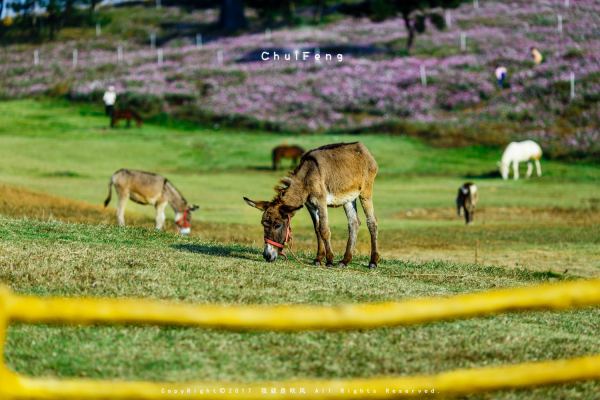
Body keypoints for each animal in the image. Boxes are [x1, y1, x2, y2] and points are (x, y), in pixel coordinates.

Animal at [244, 141, 380, 268]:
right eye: (263, 224)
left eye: (277, 225)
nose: (267, 256)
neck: (306, 178)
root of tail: (362, 148)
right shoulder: (310, 205)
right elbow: (317, 229)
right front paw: (318, 259)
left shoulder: (321, 202)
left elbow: (324, 230)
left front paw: (329, 260)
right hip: (348, 198)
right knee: (354, 223)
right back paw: (345, 261)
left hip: (365, 192)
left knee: (371, 222)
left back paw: (373, 261)